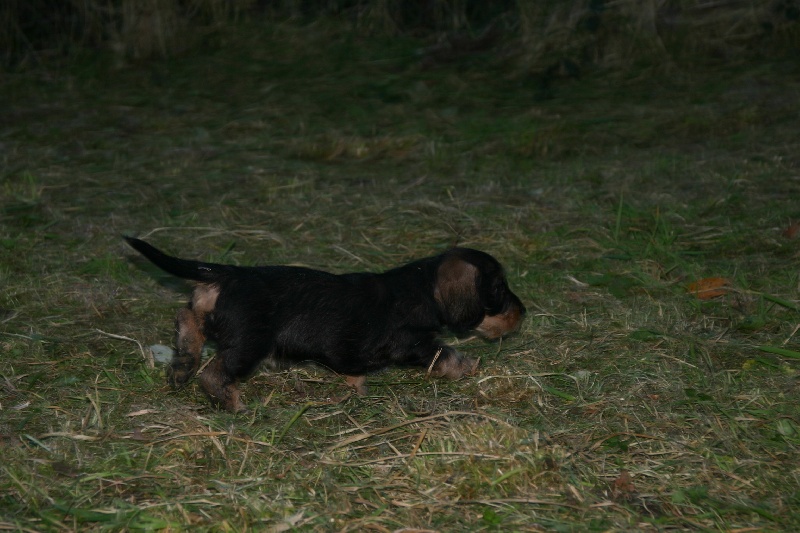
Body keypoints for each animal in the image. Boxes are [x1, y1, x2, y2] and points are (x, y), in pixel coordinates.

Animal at [123, 237, 524, 412]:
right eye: (498, 289)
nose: (522, 314)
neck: (421, 288)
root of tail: (229, 274)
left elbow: (353, 374)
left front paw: (355, 389)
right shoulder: (411, 343)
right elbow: (445, 353)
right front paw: (470, 367)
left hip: (214, 315)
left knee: (187, 317)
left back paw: (182, 365)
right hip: (248, 344)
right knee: (214, 372)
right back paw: (230, 401)